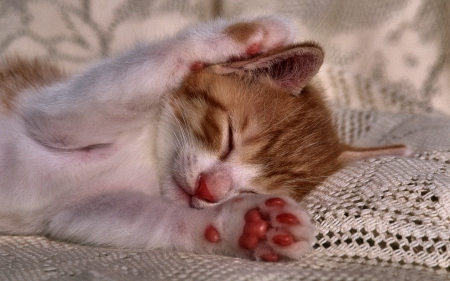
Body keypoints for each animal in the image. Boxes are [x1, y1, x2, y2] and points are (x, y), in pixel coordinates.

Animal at [0, 15, 406, 260]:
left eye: (251, 189)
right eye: (228, 138)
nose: (209, 191)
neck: (148, 153)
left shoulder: (78, 211)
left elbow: (155, 220)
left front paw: (251, 226)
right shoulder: (48, 114)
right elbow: (133, 75)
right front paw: (247, 34)